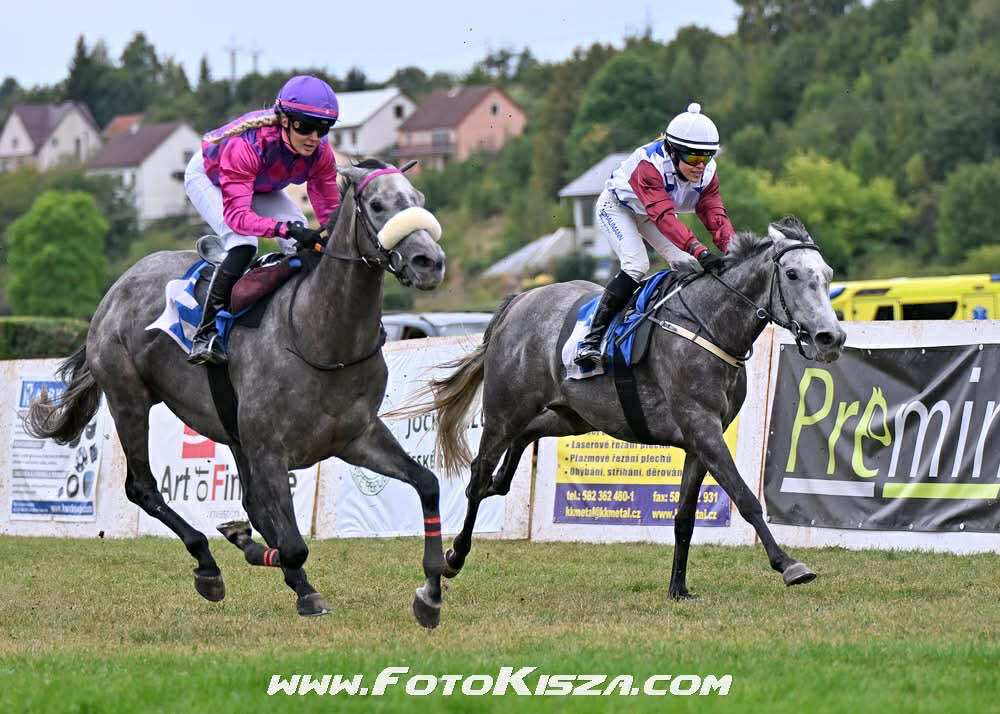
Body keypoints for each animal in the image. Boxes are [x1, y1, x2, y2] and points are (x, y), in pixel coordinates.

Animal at [25, 159, 451, 627]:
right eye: (377, 205)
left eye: (418, 199)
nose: (429, 261)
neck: (320, 336)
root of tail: (116, 289)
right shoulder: (269, 449)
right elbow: (294, 545)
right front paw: (293, 581)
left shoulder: (357, 437)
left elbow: (427, 484)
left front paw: (431, 592)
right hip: (129, 400)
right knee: (144, 488)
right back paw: (208, 564)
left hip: (230, 430)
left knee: (251, 504)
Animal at [413, 216, 847, 598]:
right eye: (792, 274)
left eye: (827, 274)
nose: (831, 337)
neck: (708, 325)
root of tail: (519, 302)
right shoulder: (702, 427)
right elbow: (745, 497)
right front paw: (788, 564)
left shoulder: (700, 441)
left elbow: (685, 518)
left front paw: (678, 589)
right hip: (505, 410)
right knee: (477, 474)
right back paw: (454, 555)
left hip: (571, 416)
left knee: (521, 443)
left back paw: (500, 483)